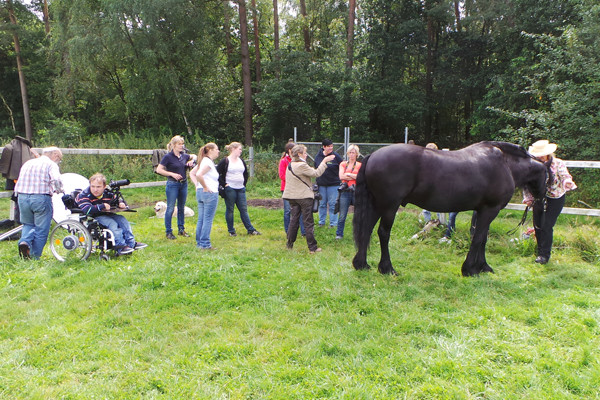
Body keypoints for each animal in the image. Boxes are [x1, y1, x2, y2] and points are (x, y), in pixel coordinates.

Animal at [354, 142, 552, 276]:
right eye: (550, 177)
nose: (542, 200)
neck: (505, 165)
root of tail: (373, 156)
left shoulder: (482, 210)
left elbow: (482, 238)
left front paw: (483, 266)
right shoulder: (490, 209)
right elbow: (478, 238)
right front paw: (470, 269)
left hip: (377, 205)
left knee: (367, 230)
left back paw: (361, 264)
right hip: (389, 206)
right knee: (383, 233)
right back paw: (387, 268)